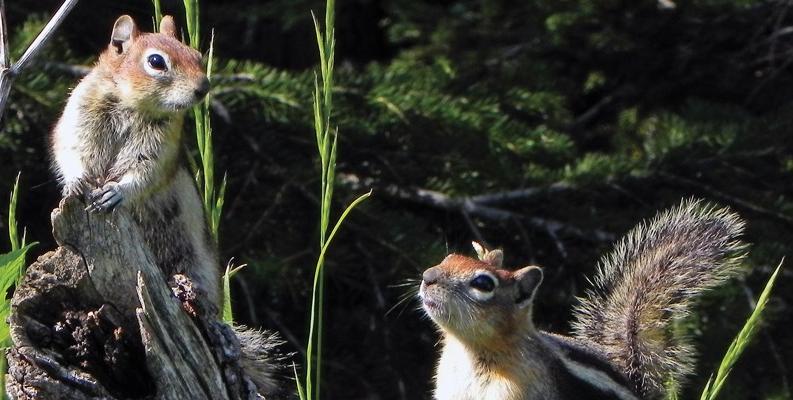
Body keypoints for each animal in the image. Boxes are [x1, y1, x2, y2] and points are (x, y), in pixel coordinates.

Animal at [50, 15, 284, 396]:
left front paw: (117, 193)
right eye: (157, 62)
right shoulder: (78, 119)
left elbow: (144, 175)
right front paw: (76, 183)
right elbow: (70, 153)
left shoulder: (159, 148)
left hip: (195, 270)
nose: (204, 88)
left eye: (198, 55)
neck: (133, 104)